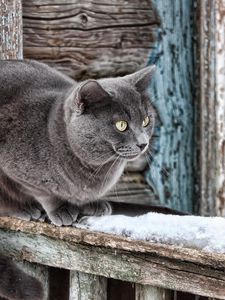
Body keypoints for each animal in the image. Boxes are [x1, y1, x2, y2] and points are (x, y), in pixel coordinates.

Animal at [0, 59, 155, 226]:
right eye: (121, 125)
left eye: (146, 121)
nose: (143, 143)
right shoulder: (19, 173)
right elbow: (45, 193)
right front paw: (61, 209)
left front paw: (91, 205)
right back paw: (26, 210)